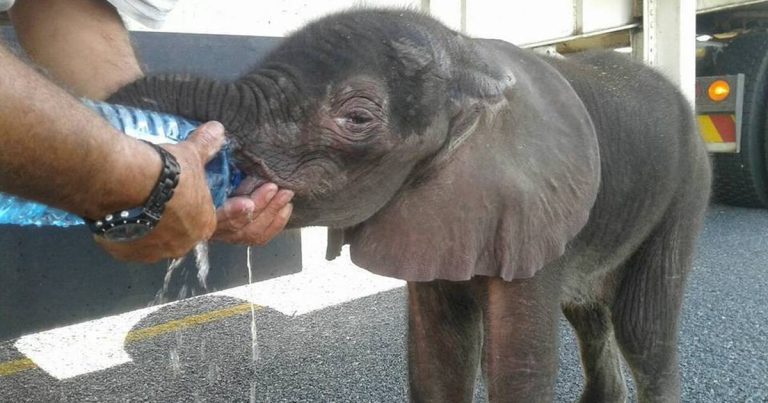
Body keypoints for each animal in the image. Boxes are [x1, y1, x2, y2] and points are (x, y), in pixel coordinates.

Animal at [111, 9, 712, 403]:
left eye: (357, 118)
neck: (469, 60)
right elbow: (439, 357)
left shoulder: (534, 201)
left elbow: (517, 364)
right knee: (590, 315)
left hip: (688, 186)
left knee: (642, 328)